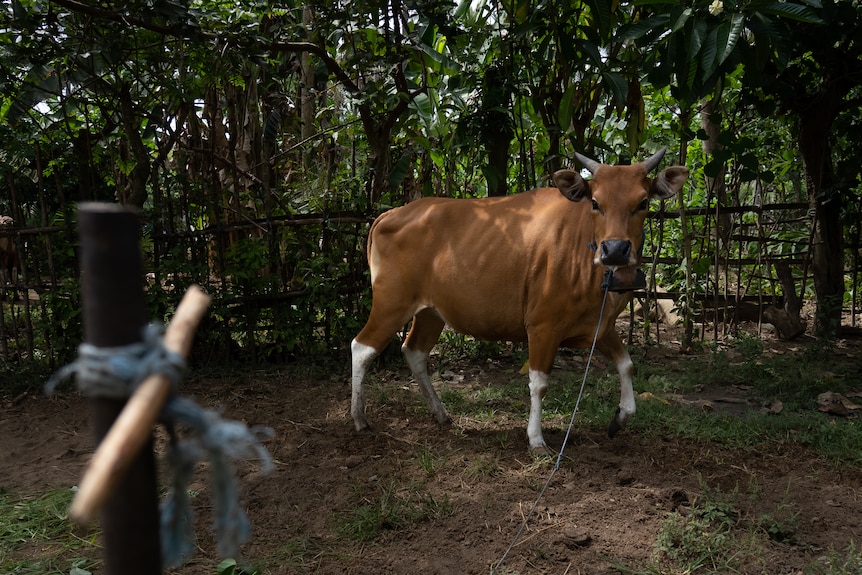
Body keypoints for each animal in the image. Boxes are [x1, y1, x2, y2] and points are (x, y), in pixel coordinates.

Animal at [350, 150, 688, 454]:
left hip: (431, 312)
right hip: (391, 302)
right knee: (362, 347)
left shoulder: (600, 328)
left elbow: (627, 366)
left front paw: (619, 419)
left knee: (414, 351)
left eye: (642, 203)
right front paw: (536, 440)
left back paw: (441, 414)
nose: (615, 249)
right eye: (596, 203)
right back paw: (359, 419)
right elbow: (539, 383)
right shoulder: (542, 326)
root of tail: (389, 214)